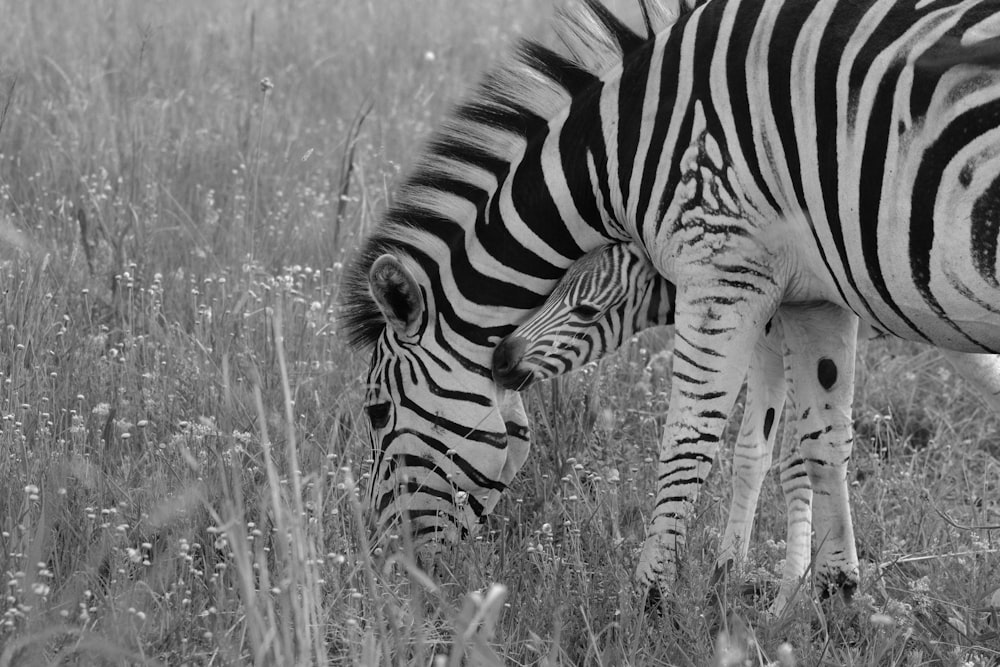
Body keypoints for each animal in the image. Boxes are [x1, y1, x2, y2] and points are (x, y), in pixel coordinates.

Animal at [492, 243, 1000, 612]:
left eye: (587, 311)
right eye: (553, 289)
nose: (501, 358)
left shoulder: (789, 338)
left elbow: (794, 463)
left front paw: (784, 601)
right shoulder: (765, 339)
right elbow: (752, 454)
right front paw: (730, 577)